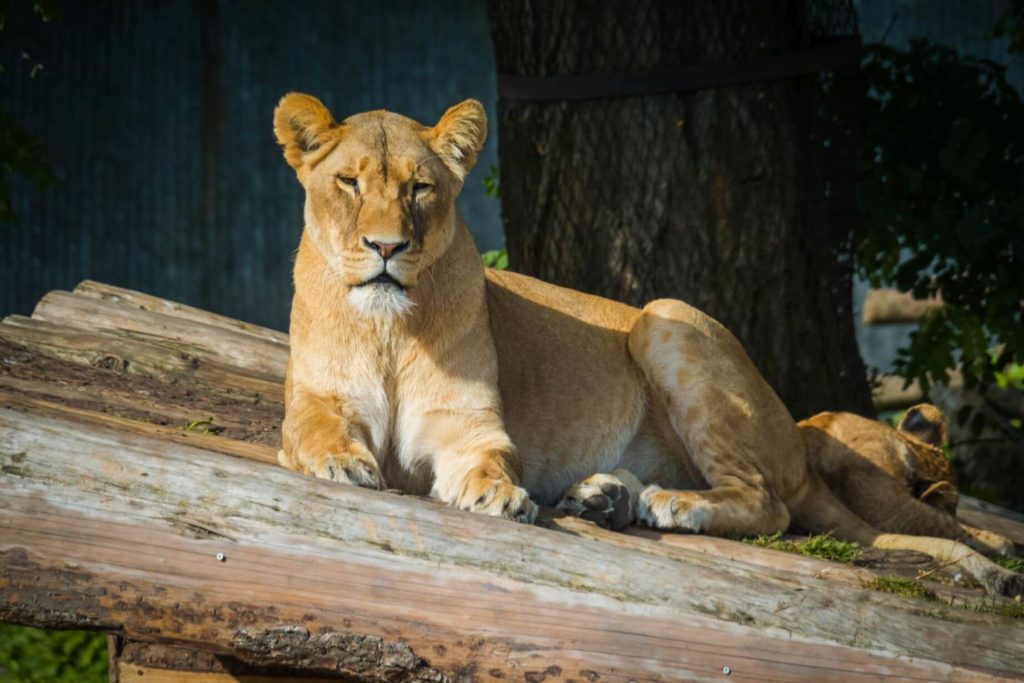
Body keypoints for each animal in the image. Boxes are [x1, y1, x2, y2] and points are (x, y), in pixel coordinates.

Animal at [276, 93, 1019, 593]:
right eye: (349, 182)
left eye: (421, 188)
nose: (387, 247)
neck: (389, 326)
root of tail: (800, 445)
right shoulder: (312, 402)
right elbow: (317, 430)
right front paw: (343, 462)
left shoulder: (470, 428)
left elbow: (487, 461)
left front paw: (498, 494)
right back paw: (606, 496)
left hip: (666, 314)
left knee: (767, 503)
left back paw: (670, 504)